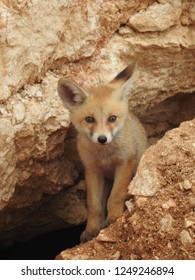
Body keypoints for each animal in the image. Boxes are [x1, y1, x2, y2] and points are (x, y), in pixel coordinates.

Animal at [57, 62, 148, 242]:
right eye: (89, 119)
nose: (102, 138)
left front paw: (114, 218)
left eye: (112, 118)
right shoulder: (92, 170)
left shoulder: (125, 163)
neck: (105, 156)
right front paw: (92, 229)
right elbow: (94, 205)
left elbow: (116, 196)